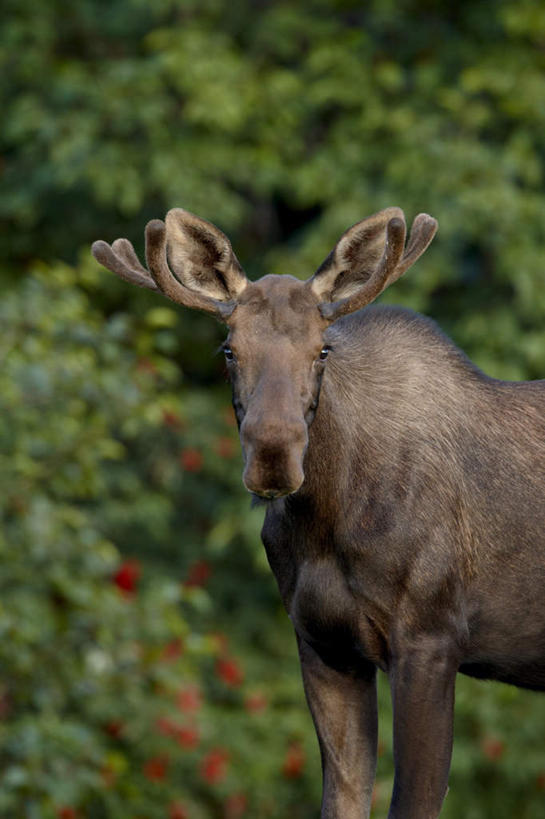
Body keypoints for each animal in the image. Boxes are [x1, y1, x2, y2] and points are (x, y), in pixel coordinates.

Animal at [91, 207, 540, 819]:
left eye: (322, 349)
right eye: (228, 349)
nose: (273, 456)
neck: (328, 523)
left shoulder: (432, 638)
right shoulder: (324, 646)